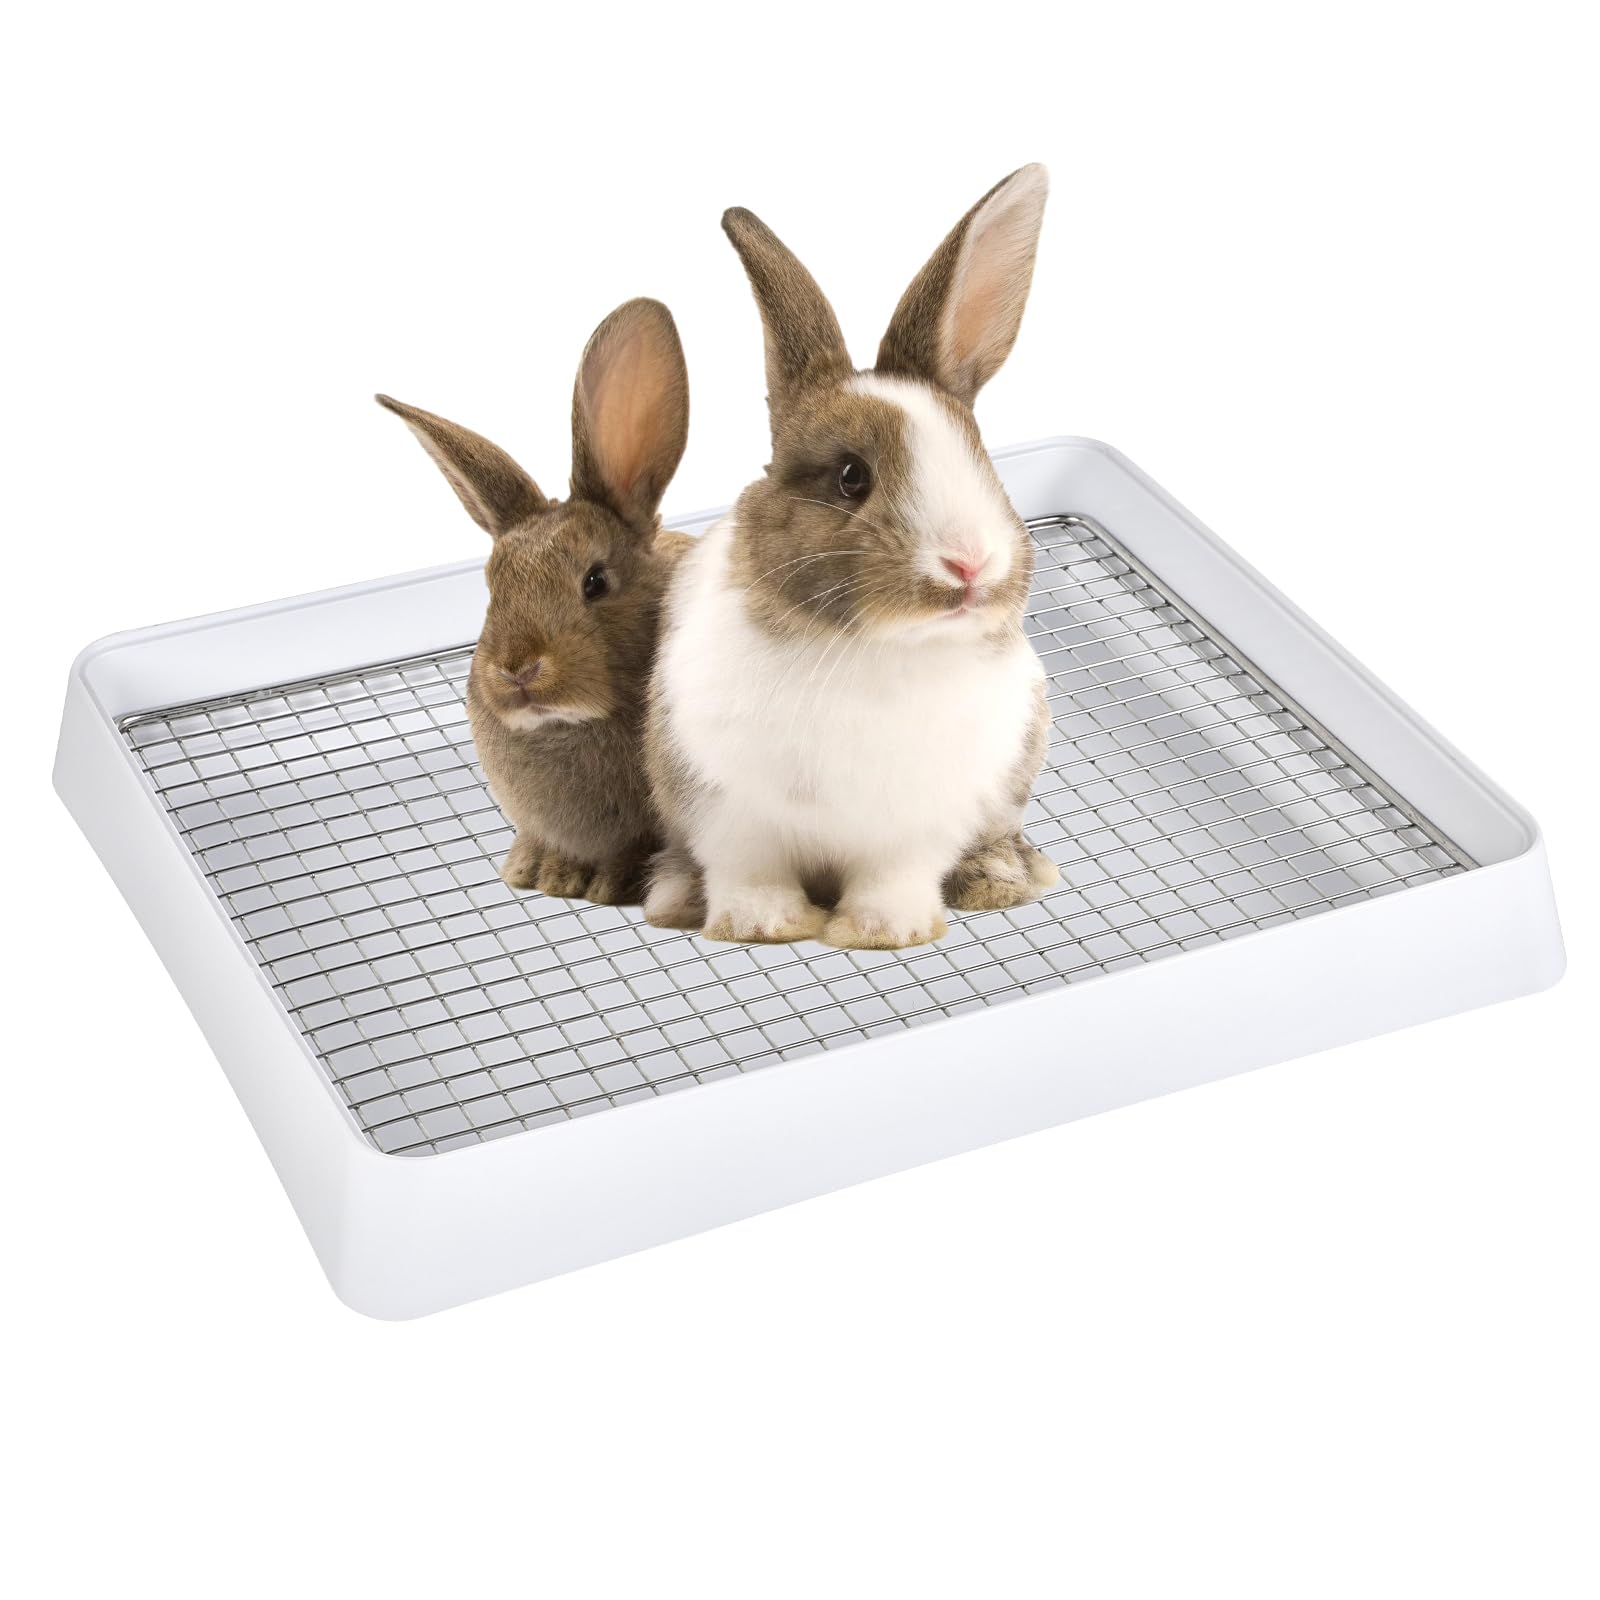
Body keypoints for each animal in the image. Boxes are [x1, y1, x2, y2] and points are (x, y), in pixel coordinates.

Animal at [644, 166, 1059, 948]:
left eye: (980, 459)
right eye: (850, 477)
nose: (969, 566)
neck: (877, 650)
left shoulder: (919, 822)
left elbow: (895, 877)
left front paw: (884, 932)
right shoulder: (726, 809)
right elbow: (749, 873)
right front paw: (763, 927)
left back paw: (1002, 879)